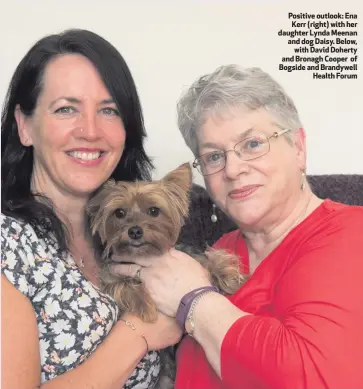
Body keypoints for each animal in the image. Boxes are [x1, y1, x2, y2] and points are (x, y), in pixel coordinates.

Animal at [87, 161, 246, 388]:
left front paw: (227, 276)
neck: (144, 255)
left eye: (154, 210)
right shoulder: (112, 272)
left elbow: (208, 258)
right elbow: (122, 285)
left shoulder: (187, 253)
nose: (134, 231)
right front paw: (145, 306)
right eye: (119, 213)